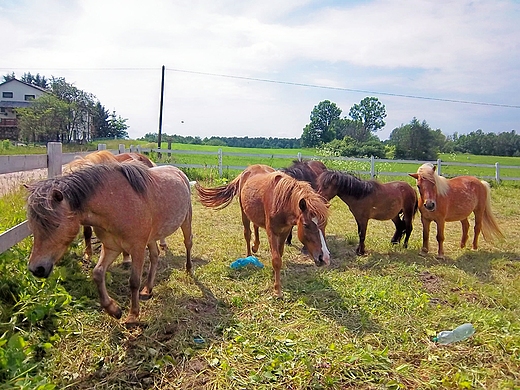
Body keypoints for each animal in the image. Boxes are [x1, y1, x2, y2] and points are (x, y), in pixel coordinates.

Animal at [26, 161, 193, 322]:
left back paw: (189, 269)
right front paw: (113, 310)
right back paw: (147, 289)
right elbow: (98, 273)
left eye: (56, 224)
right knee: (155, 255)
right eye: (32, 225)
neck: (116, 205)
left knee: (188, 243)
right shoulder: (112, 248)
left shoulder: (137, 249)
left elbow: (134, 281)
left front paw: (133, 315)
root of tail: (178, 171)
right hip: (151, 237)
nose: (36, 269)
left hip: (186, 221)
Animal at [195, 164, 330, 296]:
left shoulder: (284, 232)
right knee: (247, 234)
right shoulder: (272, 232)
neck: (282, 201)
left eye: (325, 225)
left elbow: (279, 254)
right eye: (306, 225)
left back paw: (255, 247)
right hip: (244, 213)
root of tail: (246, 171)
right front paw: (277, 290)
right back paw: (249, 255)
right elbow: (276, 259)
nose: (324, 258)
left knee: (255, 226)